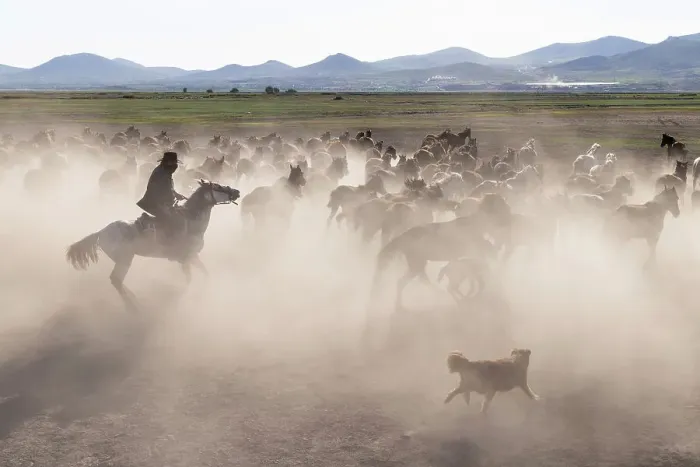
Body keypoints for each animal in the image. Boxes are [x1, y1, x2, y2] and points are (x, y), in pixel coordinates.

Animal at [65, 180, 241, 311]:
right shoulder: (186, 259)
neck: (191, 221)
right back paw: (133, 306)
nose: (237, 191)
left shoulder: (193, 257)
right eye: (218, 186)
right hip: (124, 260)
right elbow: (190, 279)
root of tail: (101, 232)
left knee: (117, 281)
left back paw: (134, 299)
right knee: (116, 280)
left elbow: (205, 273)